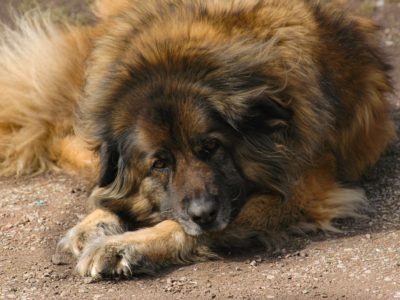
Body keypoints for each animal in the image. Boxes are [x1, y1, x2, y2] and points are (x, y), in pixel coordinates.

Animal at [0, 0, 394, 278]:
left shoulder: (302, 194)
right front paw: (99, 222)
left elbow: (178, 226)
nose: (204, 214)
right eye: (159, 163)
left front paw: (120, 246)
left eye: (211, 148)